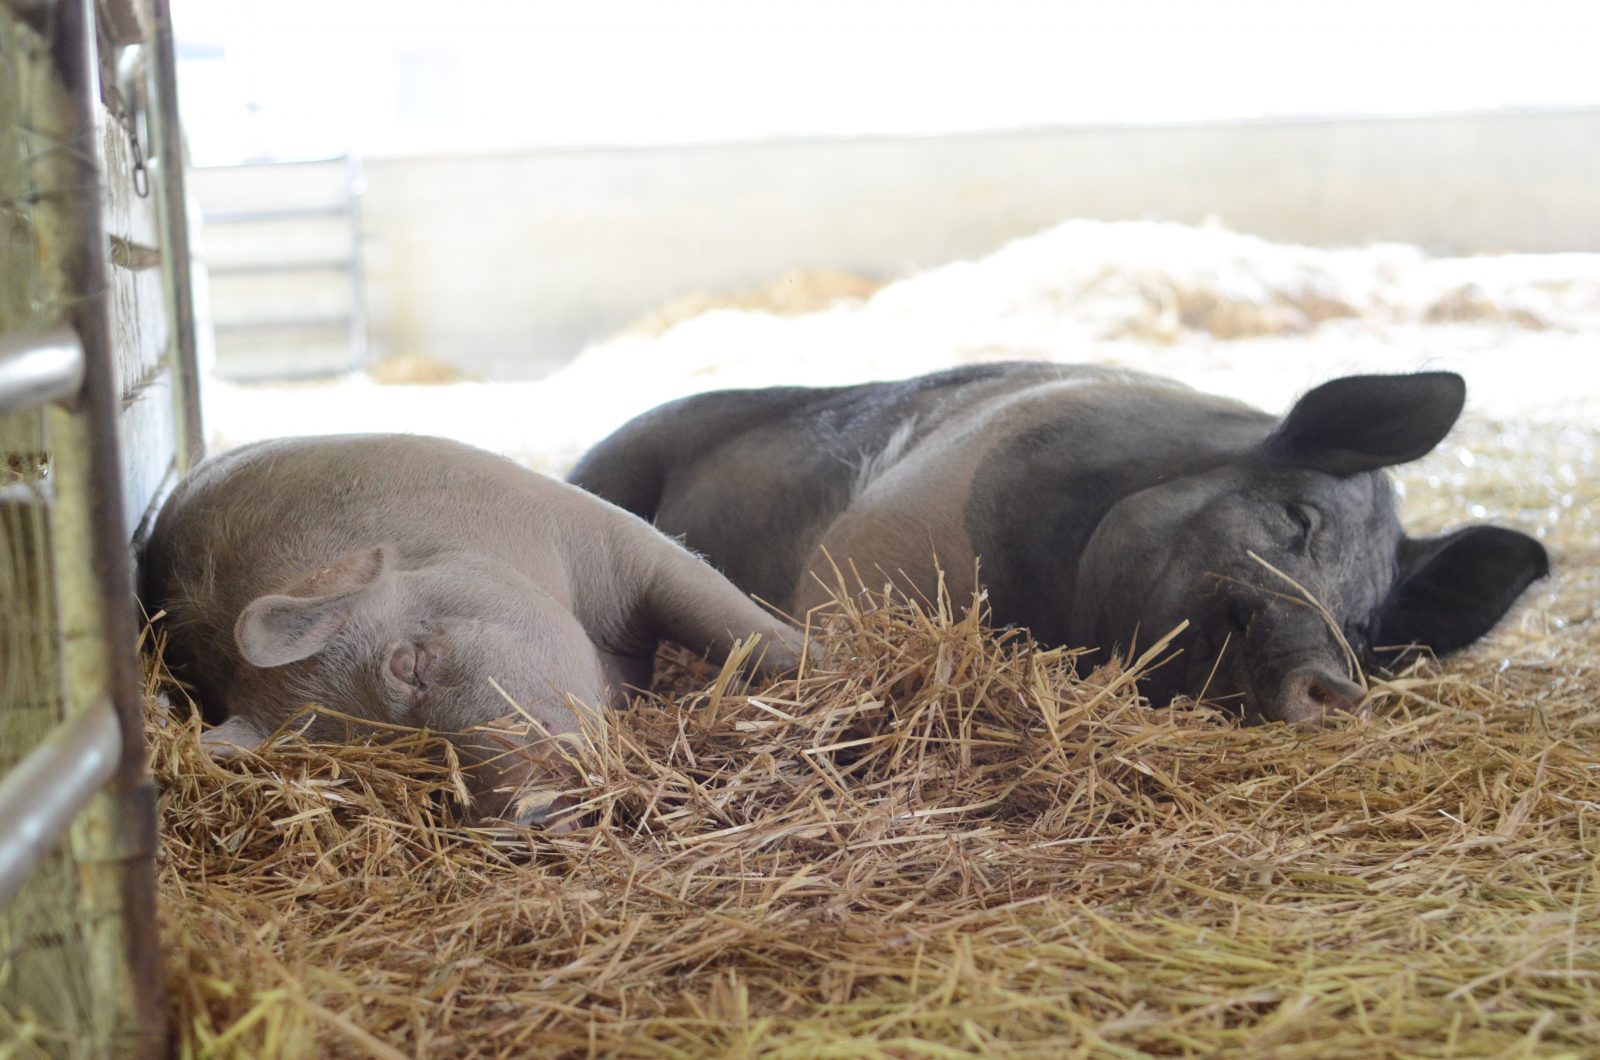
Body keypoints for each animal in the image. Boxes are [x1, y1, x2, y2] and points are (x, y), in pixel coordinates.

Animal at [144, 435, 806, 832]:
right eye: (408, 774)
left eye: (411, 666)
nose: (531, 813)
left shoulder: (601, 535)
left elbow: (724, 619)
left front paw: (817, 659)